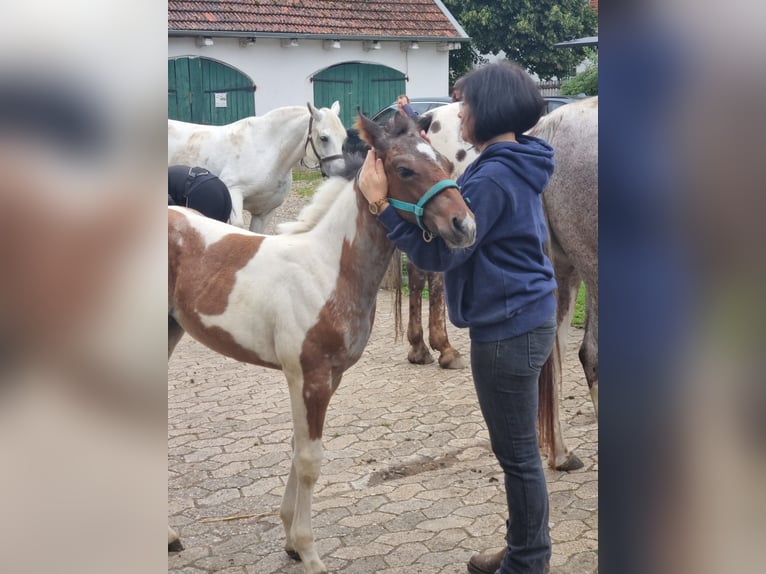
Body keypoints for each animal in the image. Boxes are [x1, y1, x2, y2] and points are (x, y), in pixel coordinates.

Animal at [170, 102, 348, 233]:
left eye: (344, 136)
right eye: (324, 138)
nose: (341, 171)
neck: (267, 149)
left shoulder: (263, 213)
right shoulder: (233, 191)